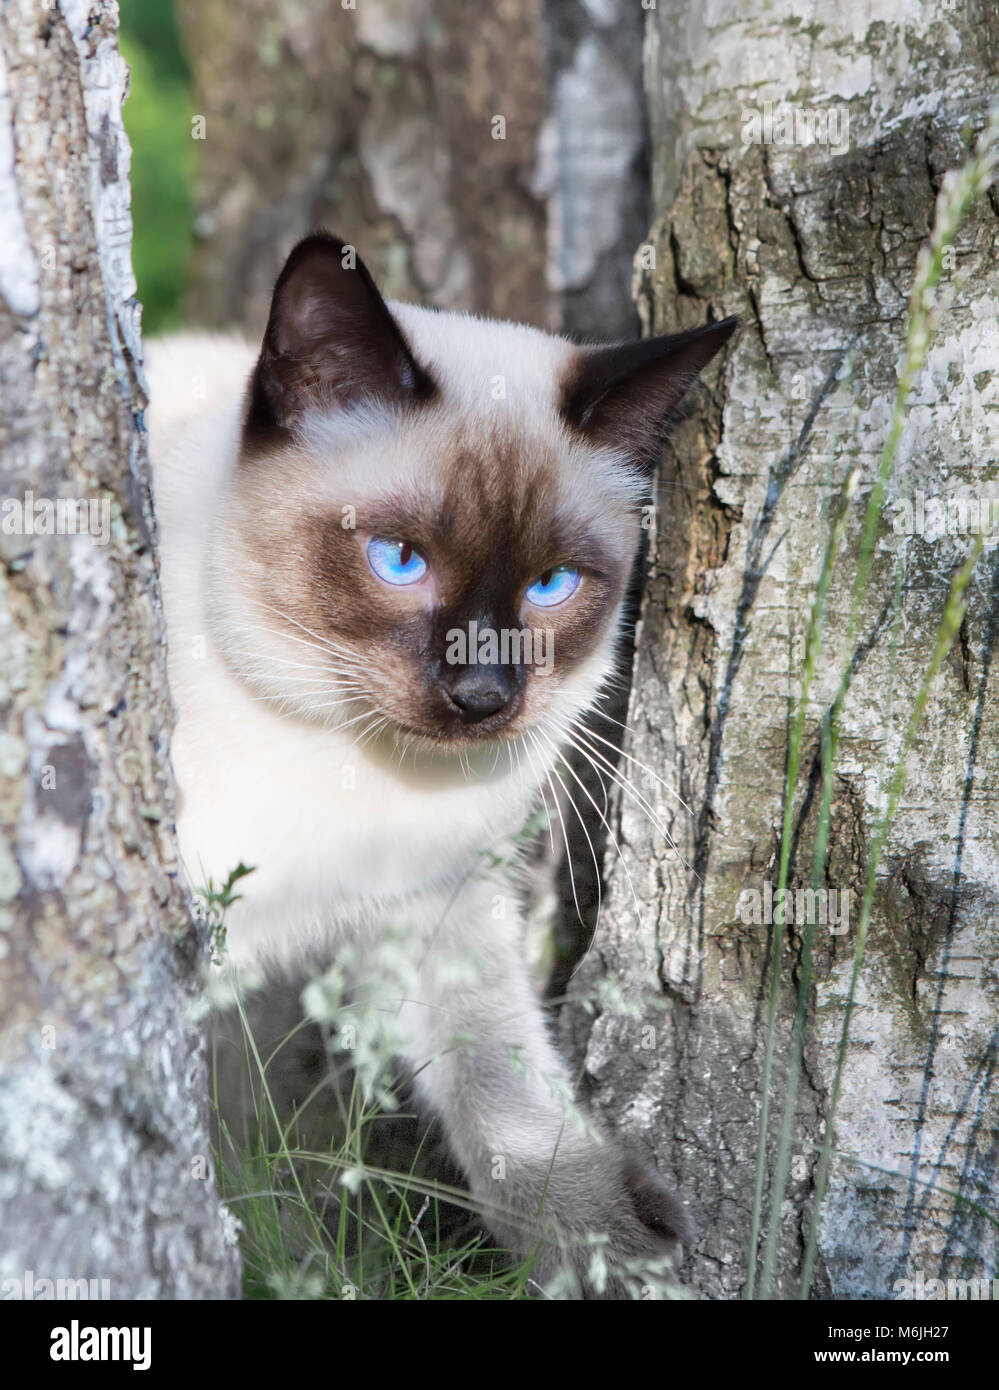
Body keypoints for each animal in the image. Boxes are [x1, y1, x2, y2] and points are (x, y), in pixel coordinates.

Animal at [150, 233, 744, 1295]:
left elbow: (503, 1090)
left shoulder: (435, 908)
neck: (347, 764)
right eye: (399, 560)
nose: (481, 696)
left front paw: (601, 1247)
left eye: (551, 585)